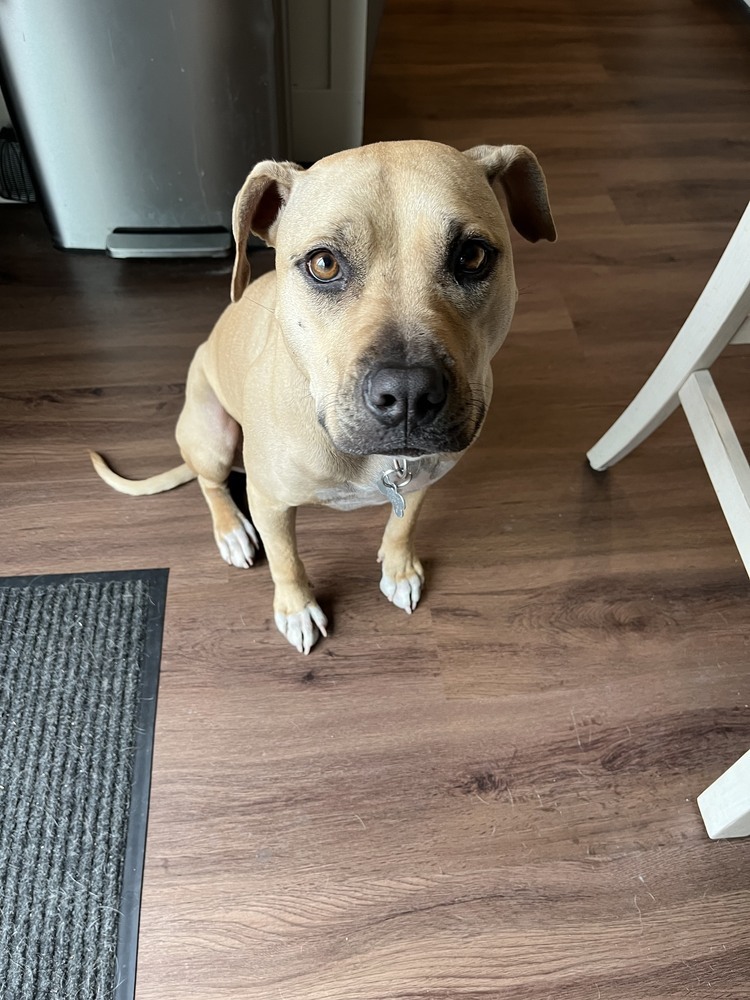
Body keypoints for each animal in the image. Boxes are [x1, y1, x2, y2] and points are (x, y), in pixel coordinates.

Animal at [89, 141, 560, 656]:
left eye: (472, 256)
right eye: (324, 264)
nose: (409, 392)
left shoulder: (422, 476)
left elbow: (404, 523)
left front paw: (399, 569)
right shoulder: (270, 503)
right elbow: (286, 560)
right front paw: (296, 609)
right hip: (212, 434)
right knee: (211, 484)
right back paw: (231, 531)